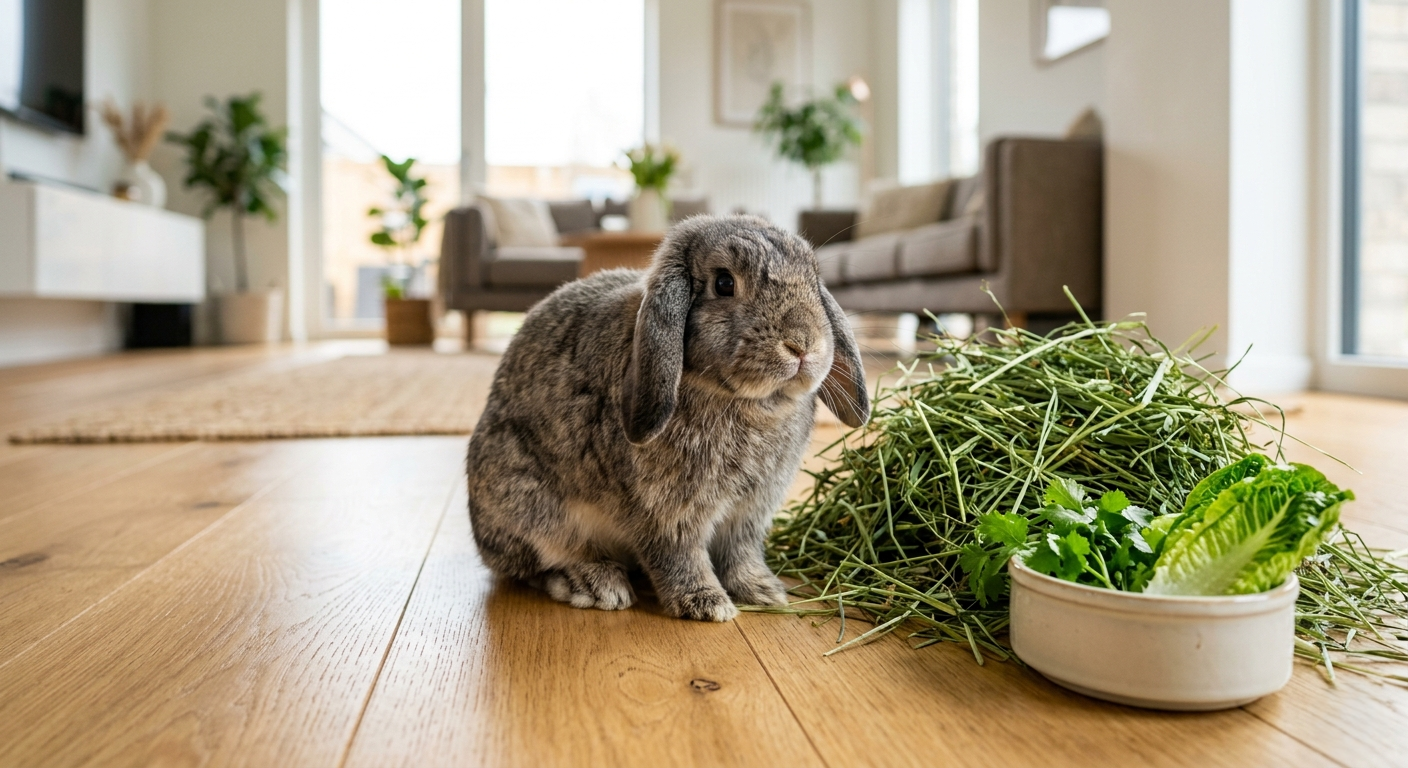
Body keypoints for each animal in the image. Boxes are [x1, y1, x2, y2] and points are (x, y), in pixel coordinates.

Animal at [464, 215, 869, 621]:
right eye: (724, 283)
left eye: (813, 279)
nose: (802, 345)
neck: (744, 400)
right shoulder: (667, 514)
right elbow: (678, 555)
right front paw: (707, 604)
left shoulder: (748, 513)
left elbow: (740, 554)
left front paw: (763, 591)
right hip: (530, 506)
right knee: (536, 564)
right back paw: (594, 584)